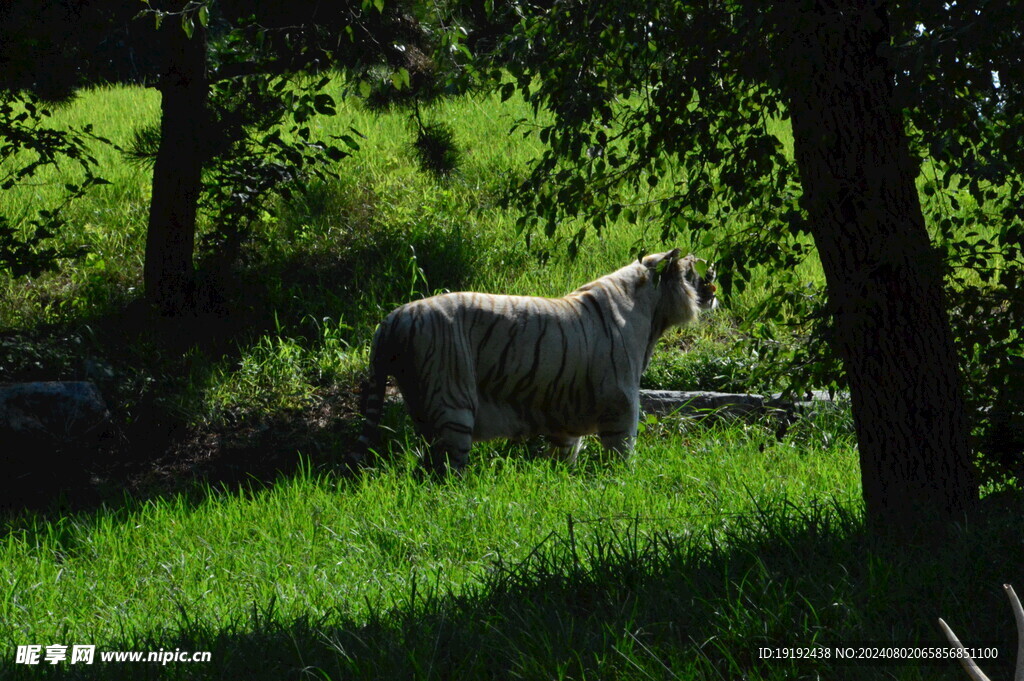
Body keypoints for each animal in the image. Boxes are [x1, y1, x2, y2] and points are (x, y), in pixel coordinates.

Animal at [360, 248, 720, 473]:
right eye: (697, 270)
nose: (715, 282)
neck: (655, 313)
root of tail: (392, 318)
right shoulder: (622, 402)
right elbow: (621, 453)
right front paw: (622, 481)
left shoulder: (568, 414)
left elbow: (565, 453)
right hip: (452, 407)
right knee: (440, 474)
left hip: (425, 408)